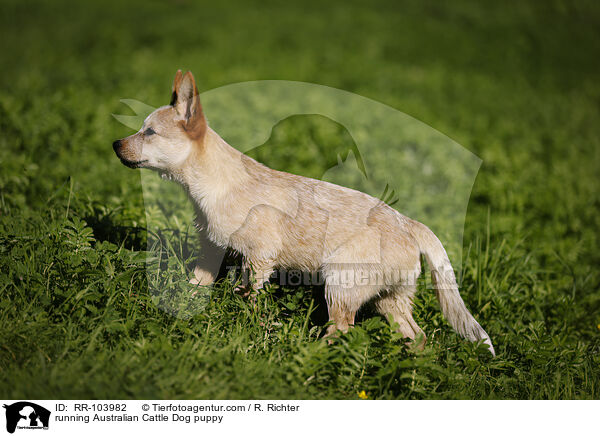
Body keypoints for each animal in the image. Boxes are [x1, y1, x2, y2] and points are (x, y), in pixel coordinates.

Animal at [113, 70, 496, 354]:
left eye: (149, 132)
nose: (115, 144)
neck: (215, 184)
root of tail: (411, 224)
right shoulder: (211, 251)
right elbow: (195, 286)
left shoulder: (259, 260)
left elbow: (251, 299)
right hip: (390, 301)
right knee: (417, 337)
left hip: (340, 285)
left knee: (342, 329)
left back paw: (311, 353)